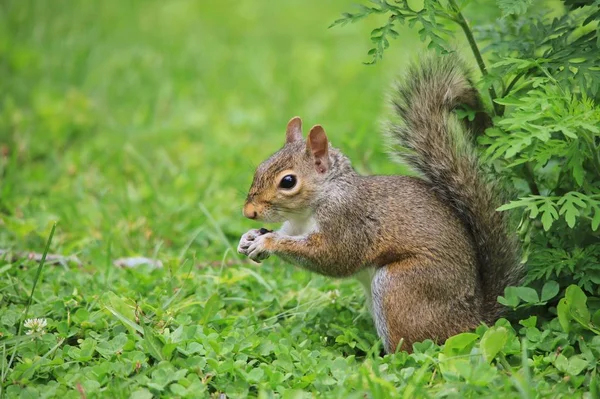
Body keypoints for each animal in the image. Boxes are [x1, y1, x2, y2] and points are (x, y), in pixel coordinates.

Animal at [237, 54, 524, 354]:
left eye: (288, 181)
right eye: (260, 167)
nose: (248, 212)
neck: (316, 203)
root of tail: (476, 320)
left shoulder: (348, 221)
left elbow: (334, 257)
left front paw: (267, 242)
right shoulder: (294, 225)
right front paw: (249, 238)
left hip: (400, 287)